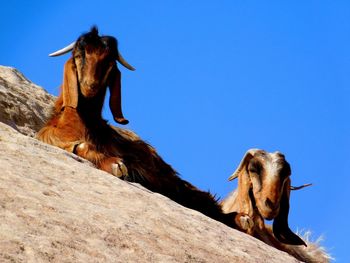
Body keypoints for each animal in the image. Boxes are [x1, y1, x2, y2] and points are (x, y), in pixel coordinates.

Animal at [37, 26, 250, 232]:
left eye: (109, 63)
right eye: (79, 55)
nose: (90, 86)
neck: (83, 122)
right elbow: (81, 148)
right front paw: (115, 165)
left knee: (197, 197)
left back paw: (241, 219)